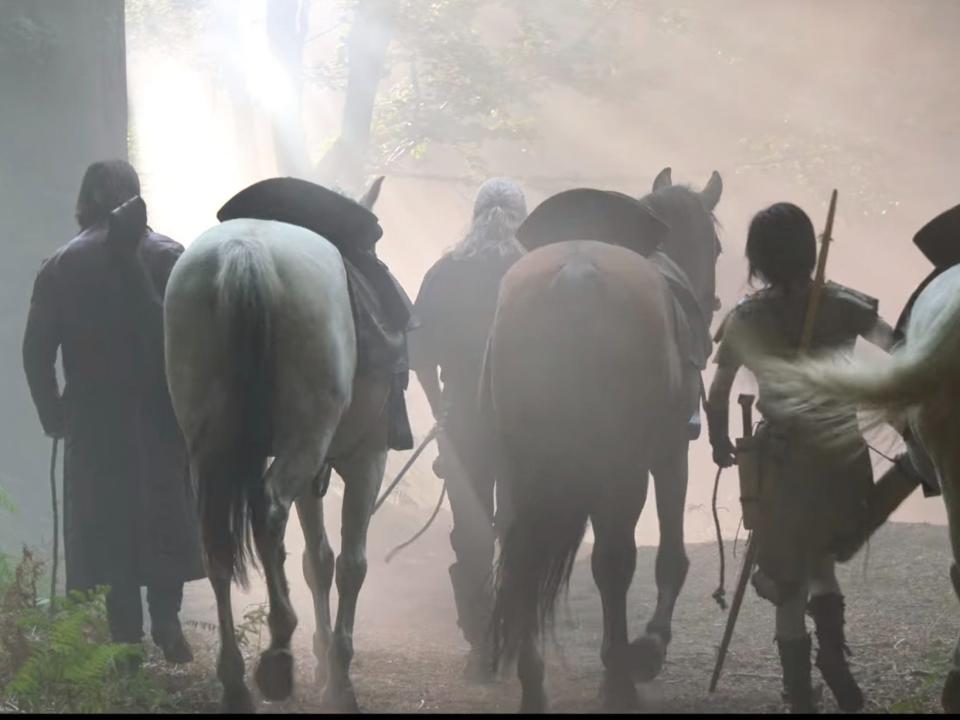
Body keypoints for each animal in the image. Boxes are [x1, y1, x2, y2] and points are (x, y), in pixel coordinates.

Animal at [163, 181, 388, 716]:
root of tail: (245, 252)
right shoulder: (366, 459)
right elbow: (350, 564)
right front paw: (339, 680)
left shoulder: (313, 472)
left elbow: (317, 561)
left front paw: (326, 662)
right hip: (304, 441)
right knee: (267, 512)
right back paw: (278, 655)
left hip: (215, 450)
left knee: (216, 545)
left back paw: (235, 683)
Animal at [488, 170, 720, 716]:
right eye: (718, 246)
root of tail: (575, 275)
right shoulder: (670, 454)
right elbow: (669, 557)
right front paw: (649, 648)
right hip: (622, 469)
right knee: (615, 562)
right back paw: (619, 679)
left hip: (522, 469)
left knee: (520, 561)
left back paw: (535, 685)